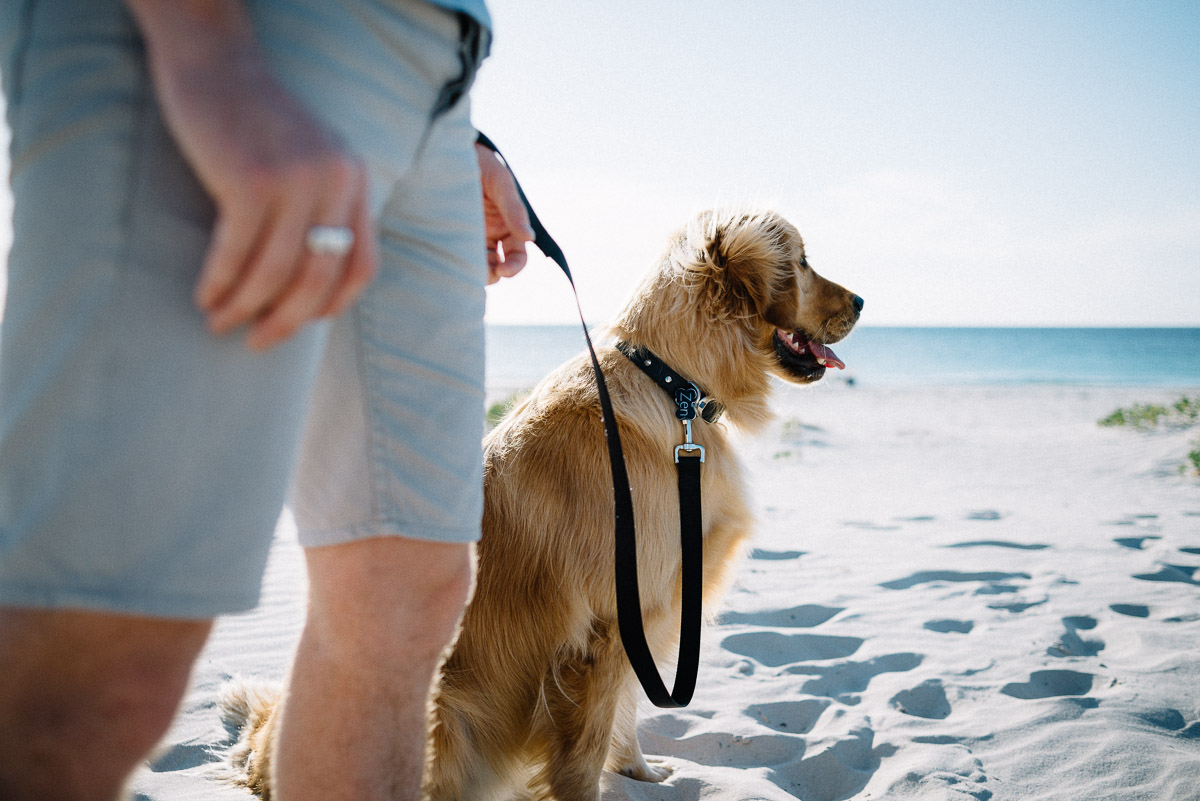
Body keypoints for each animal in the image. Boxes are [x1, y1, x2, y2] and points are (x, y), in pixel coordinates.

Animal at [220, 209, 864, 801]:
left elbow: (626, 714)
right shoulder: (611, 620)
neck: (668, 381)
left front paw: (640, 773)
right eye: (803, 262)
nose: (861, 300)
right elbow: (585, 751)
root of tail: (263, 747)